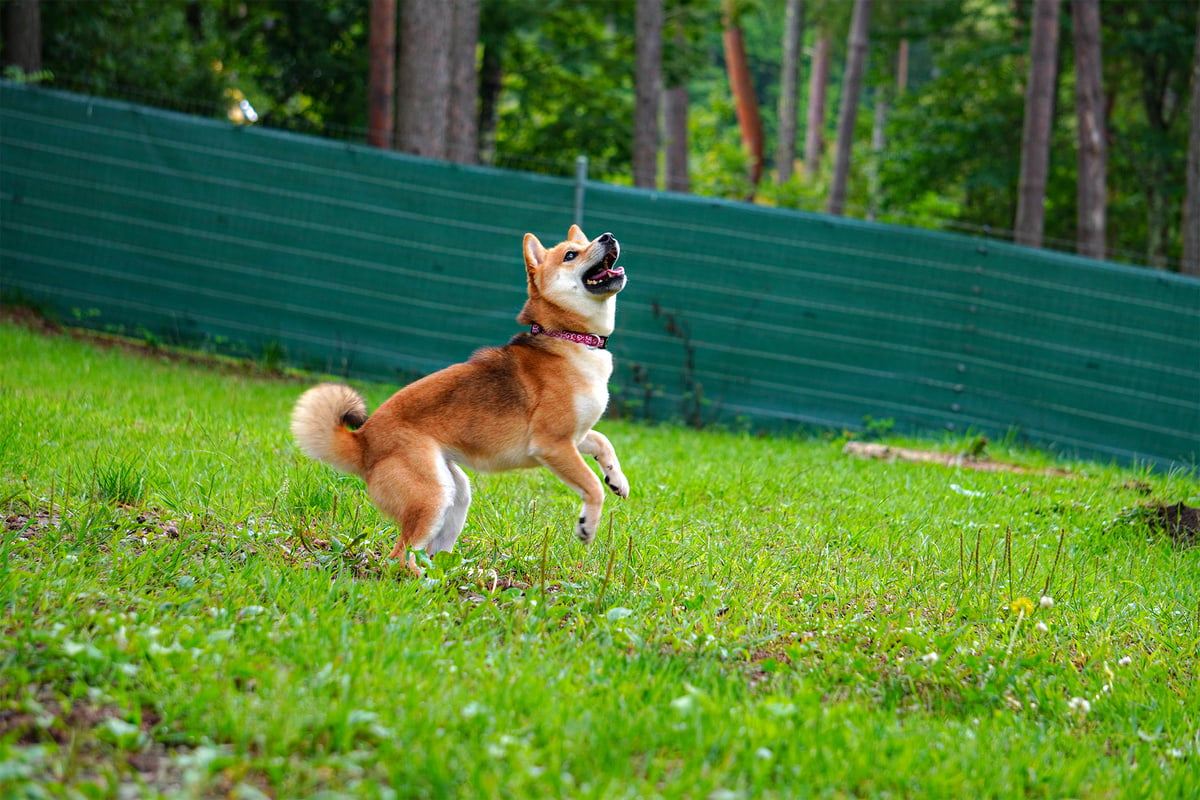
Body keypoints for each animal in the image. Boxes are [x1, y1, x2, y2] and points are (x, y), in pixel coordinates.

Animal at [291, 225, 633, 568]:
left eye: (583, 244)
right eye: (571, 254)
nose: (608, 236)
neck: (568, 339)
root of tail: (362, 443)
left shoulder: (575, 437)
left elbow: (603, 442)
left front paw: (617, 479)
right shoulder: (553, 444)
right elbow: (592, 486)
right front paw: (588, 524)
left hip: (454, 493)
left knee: (429, 552)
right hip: (431, 495)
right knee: (399, 556)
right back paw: (423, 579)